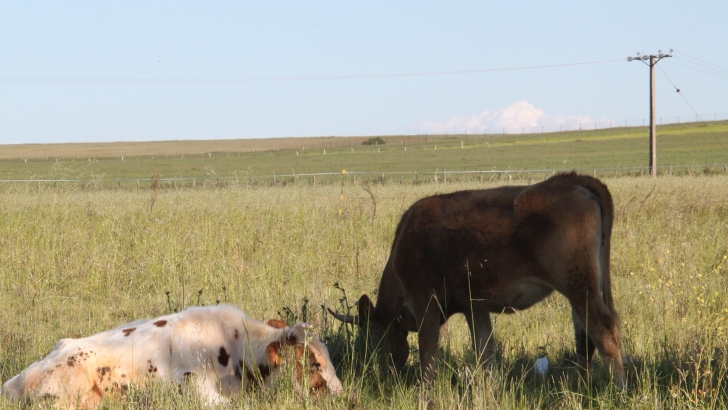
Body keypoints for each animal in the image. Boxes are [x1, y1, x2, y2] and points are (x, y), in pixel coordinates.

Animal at [329, 172, 626, 388]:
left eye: (373, 337)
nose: (379, 376)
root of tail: (573, 179)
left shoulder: (426, 304)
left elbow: (428, 351)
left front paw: (425, 390)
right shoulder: (475, 308)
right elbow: (485, 350)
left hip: (578, 287)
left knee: (601, 329)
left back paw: (618, 389)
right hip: (582, 291)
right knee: (584, 336)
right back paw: (577, 387)